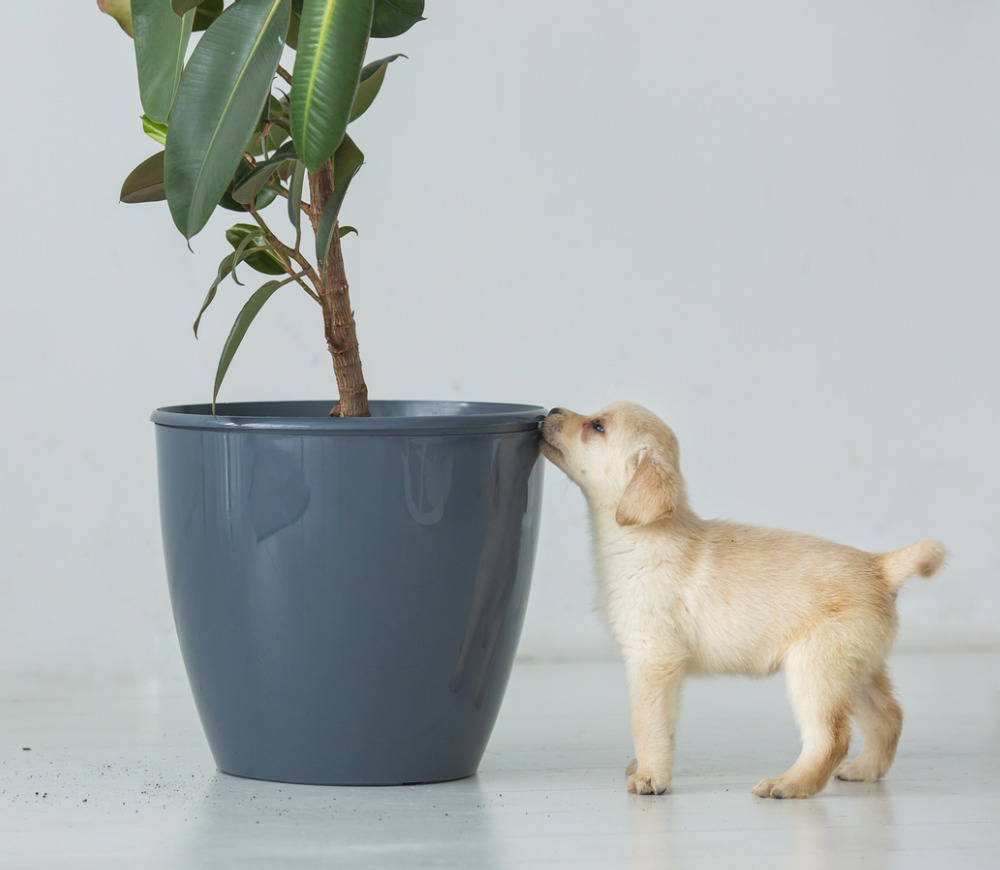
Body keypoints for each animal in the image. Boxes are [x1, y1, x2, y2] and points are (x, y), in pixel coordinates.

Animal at [544, 402, 940, 796]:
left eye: (597, 426)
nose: (550, 410)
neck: (642, 536)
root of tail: (880, 566)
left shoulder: (653, 659)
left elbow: (647, 725)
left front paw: (650, 777)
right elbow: (664, 728)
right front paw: (644, 767)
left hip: (816, 672)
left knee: (832, 738)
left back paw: (790, 784)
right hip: (856, 672)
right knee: (888, 717)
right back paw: (863, 769)